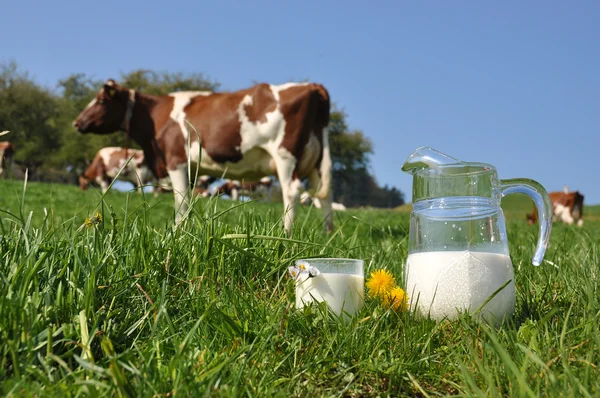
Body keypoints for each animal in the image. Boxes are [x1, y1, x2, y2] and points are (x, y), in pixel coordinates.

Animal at [72, 79, 332, 233]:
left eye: (101, 100)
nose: (77, 123)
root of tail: (311, 85)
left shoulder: (176, 160)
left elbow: (181, 201)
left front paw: (178, 232)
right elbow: (187, 199)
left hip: (285, 156)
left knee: (292, 192)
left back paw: (286, 233)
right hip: (316, 161)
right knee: (325, 196)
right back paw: (327, 235)